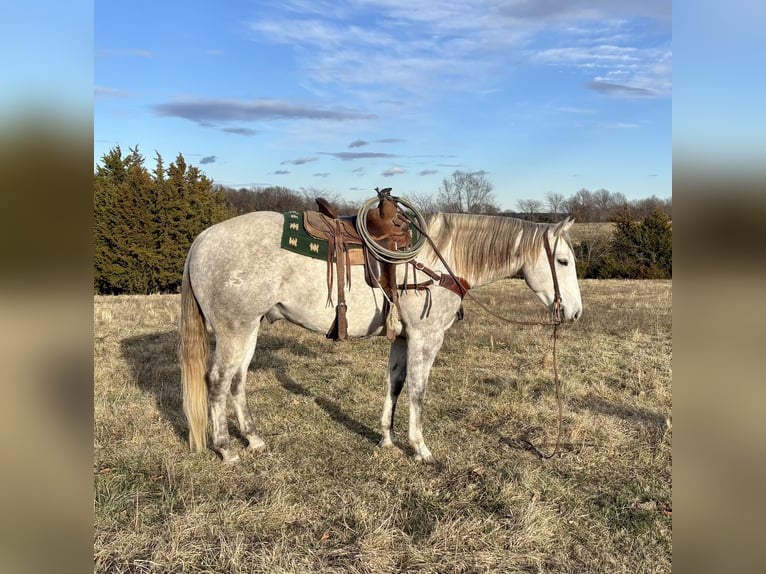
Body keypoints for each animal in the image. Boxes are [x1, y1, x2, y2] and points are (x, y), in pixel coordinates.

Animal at [178, 212, 584, 464]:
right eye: (562, 262)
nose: (576, 313)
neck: (440, 260)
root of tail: (201, 240)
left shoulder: (402, 339)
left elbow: (395, 384)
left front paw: (387, 440)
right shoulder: (426, 338)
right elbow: (418, 391)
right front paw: (420, 449)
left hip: (250, 328)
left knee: (238, 381)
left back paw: (254, 439)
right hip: (234, 330)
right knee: (218, 381)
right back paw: (226, 449)